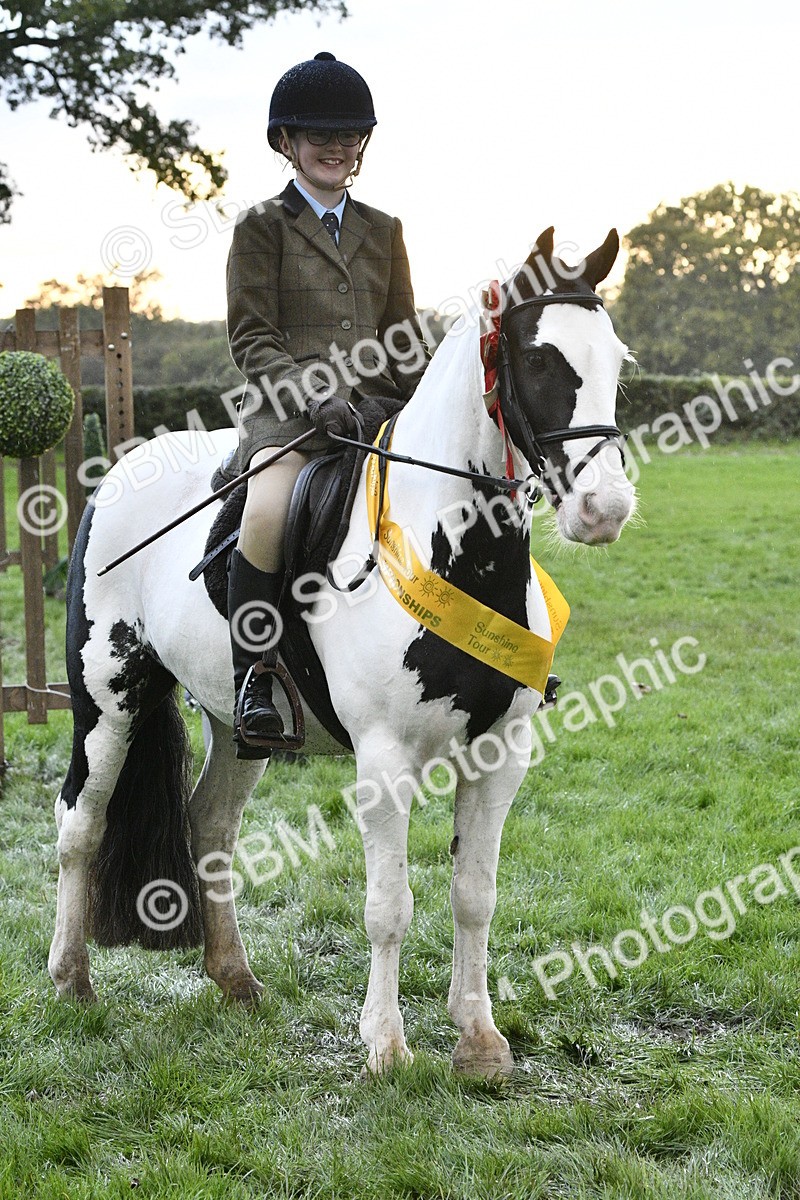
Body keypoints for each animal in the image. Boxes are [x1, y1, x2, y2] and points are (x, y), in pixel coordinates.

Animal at [49, 228, 635, 1079]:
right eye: (536, 359)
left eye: (617, 359)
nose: (604, 509)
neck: (452, 547)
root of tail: (118, 473)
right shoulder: (384, 760)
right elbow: (390, 905)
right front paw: (386, 1045)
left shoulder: (501, 752)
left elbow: (474, 894)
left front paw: (479, 1039)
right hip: (108, 698)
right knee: (80, 823)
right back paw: (71, 979)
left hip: (239, 723)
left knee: (210, 826)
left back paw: (236, 980)